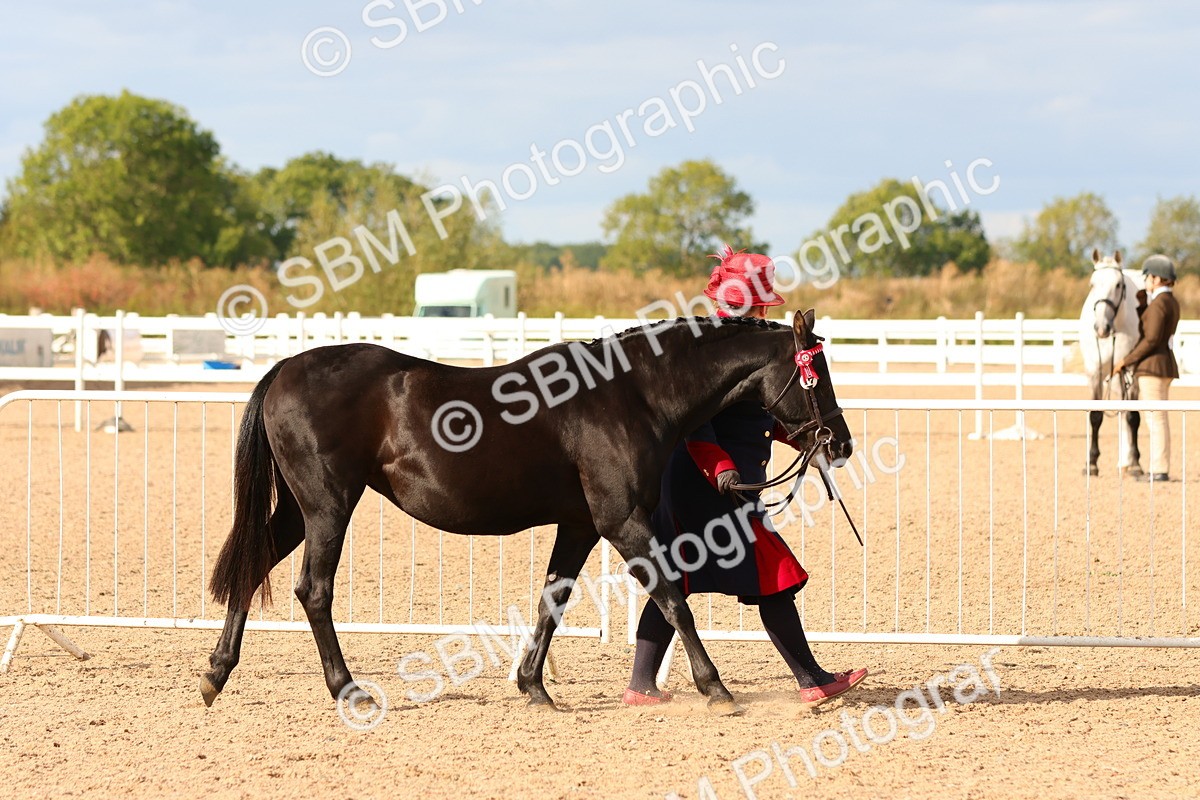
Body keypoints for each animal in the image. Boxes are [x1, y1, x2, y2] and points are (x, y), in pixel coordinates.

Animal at [200, 309, 852, 716]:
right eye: (816, 374)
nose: (840, 443)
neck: (634, 394)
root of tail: (284, 368)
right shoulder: (622, 522)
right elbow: (673, 599)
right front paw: (716, 688)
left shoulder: (582, 525)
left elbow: (552, 601)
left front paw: (534, 686)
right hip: (329, 507)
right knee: (314, 590)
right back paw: (346, 688)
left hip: (298, 511)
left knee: (252, 565)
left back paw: (215, 673)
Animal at [1079, 249, 1142, 476]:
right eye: (1092, 284)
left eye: (1118, 285)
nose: (1101, 328)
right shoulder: (1094, 373)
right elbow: (1096, 416)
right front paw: (1091, 463)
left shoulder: (1130, 371)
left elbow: (1133, 417)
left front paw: (1136, 463)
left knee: (1127, 415)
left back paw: (1129, 462)